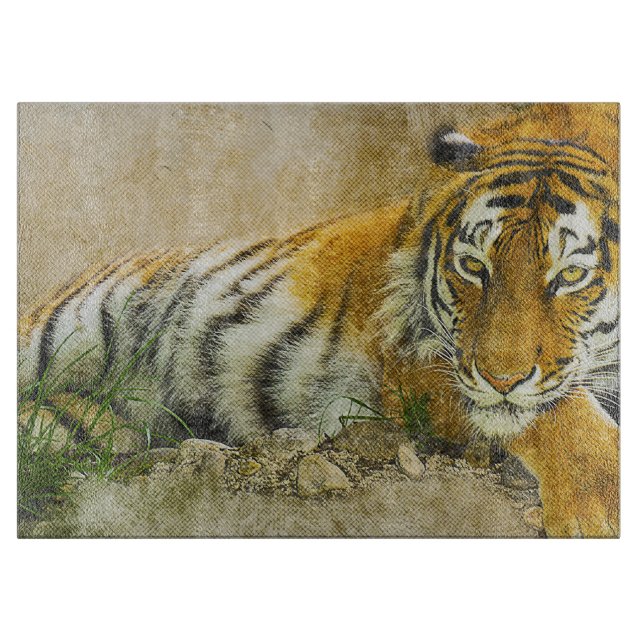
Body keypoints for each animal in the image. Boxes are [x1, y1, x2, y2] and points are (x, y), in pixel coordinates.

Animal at [18, 103, 619, 537]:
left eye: (570, 275)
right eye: (474, 266)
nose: (500, 379)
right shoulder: (420, 363)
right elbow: (556, 414)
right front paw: (602, 505)